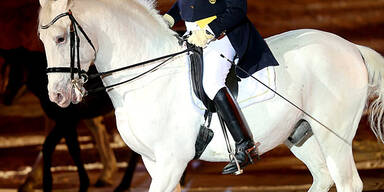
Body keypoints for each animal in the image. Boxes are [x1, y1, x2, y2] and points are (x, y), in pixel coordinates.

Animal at [0, 47, 140, 192]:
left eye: (15, 72)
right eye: (4, 73)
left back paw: (123, 184)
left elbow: (50, 146)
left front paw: (50, 184)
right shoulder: (66, 124)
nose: (5, 98)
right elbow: (71, 149)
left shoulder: (66, 121)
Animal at [37, 0, 384, 192]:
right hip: (301, 134)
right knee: (323, 178)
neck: (149, 74)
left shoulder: (172, 160)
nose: (57, 95)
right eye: (41, 39)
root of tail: (351, 47)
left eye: (60, 38)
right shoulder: (153, 162)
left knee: (348, 183)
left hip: (333, 136)